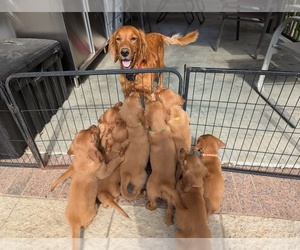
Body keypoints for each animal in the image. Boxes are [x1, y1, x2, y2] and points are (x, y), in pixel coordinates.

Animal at [144, 98, 185, 226]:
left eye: (147, 105)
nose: (148, 99)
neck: (159, 128)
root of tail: (164, 184)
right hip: (172, 198)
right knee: (170, 208)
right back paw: (168, 220)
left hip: (150, 188)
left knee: (154, 205)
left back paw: (148, 206)